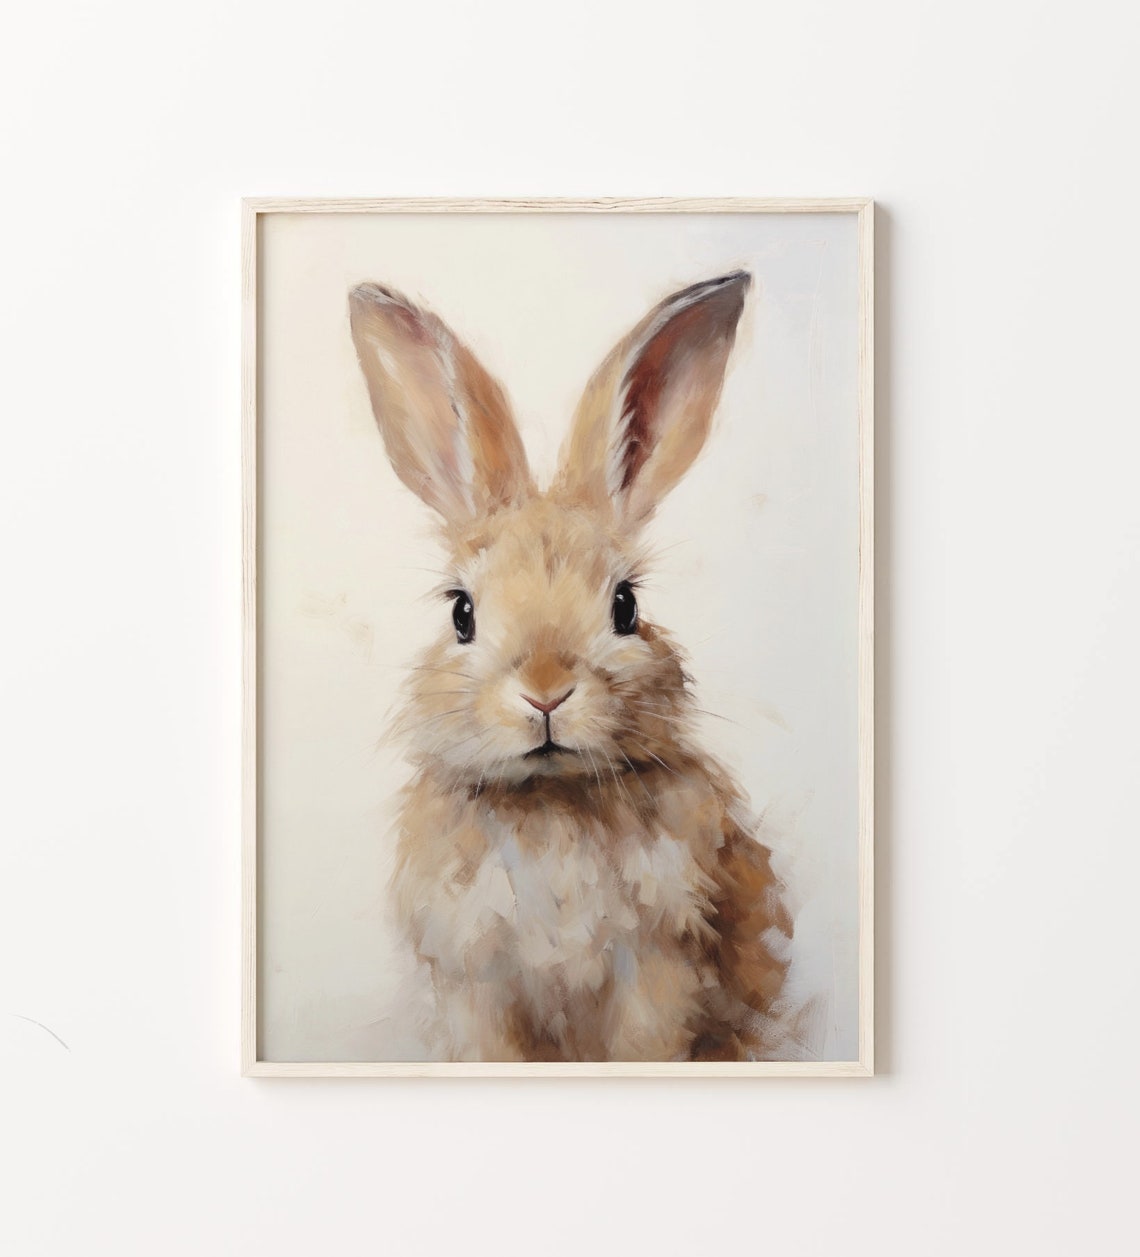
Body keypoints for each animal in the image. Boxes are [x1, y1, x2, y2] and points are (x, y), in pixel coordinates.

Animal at [348, 270, 794, 1062]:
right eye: (462, 613)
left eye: (626, 604)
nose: (546, 692)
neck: (549, 800)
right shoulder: (476, 983)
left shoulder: (657, 969)